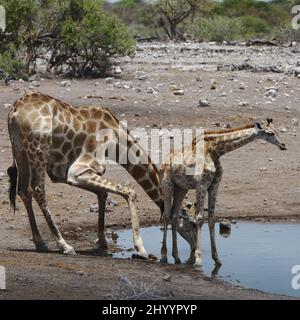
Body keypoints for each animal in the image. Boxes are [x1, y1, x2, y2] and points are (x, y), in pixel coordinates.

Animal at [7, 91, 169, 258]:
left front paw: (102, 244)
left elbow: (103, 193)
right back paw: (64, 245)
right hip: (38, 151)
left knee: (23, 190)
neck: (116, 139)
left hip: (20, 151)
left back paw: (40, 242)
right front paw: (140, 249)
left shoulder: (63, 173)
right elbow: (128, 191)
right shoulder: (77, 170)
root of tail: (14, 111)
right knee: (37, 189)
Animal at [161, 119, 288, 266]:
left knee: (174, 216)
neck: (216, 150)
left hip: (181, 187)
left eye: (277, 131)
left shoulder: (214, 186)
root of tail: (167, 159)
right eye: (270, 133)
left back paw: (176, 258)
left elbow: (211, 219)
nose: (283, 145)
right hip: (168, 184)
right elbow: (199, 218)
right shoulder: (202, 185)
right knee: (166, 215)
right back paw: (163, 256)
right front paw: (198, 259)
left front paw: (217, 259)